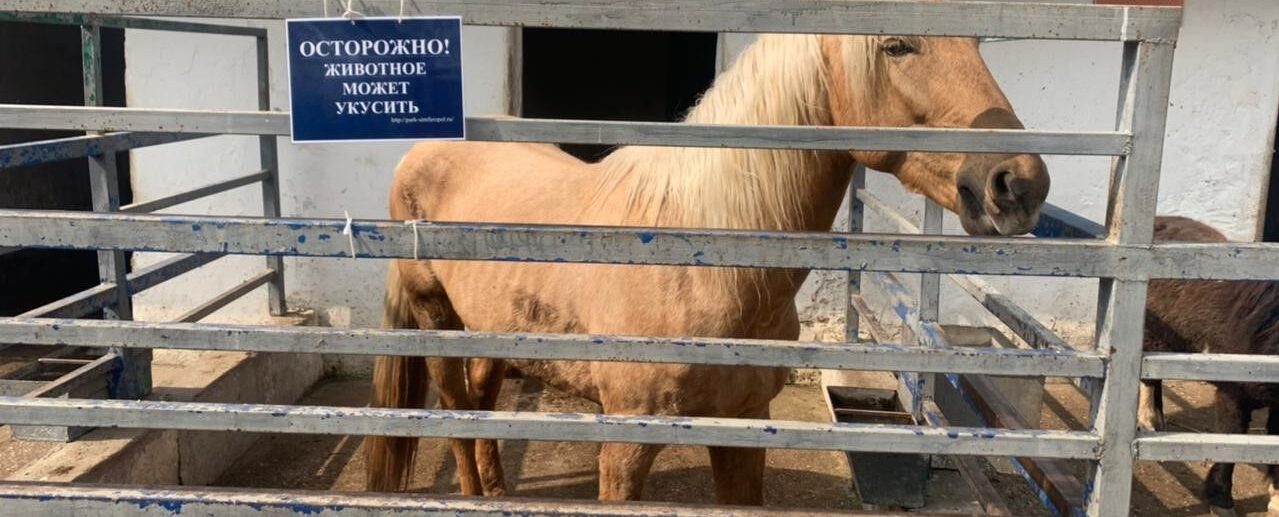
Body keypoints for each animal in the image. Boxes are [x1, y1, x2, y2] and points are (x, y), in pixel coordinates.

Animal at [363, 33, 1048, 504]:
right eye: (897, 45)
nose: (1019, 183)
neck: (701, 267)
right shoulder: (625, 445)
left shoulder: (746, 427)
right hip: (437, 323)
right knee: (456, 415)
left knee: (482, 406)